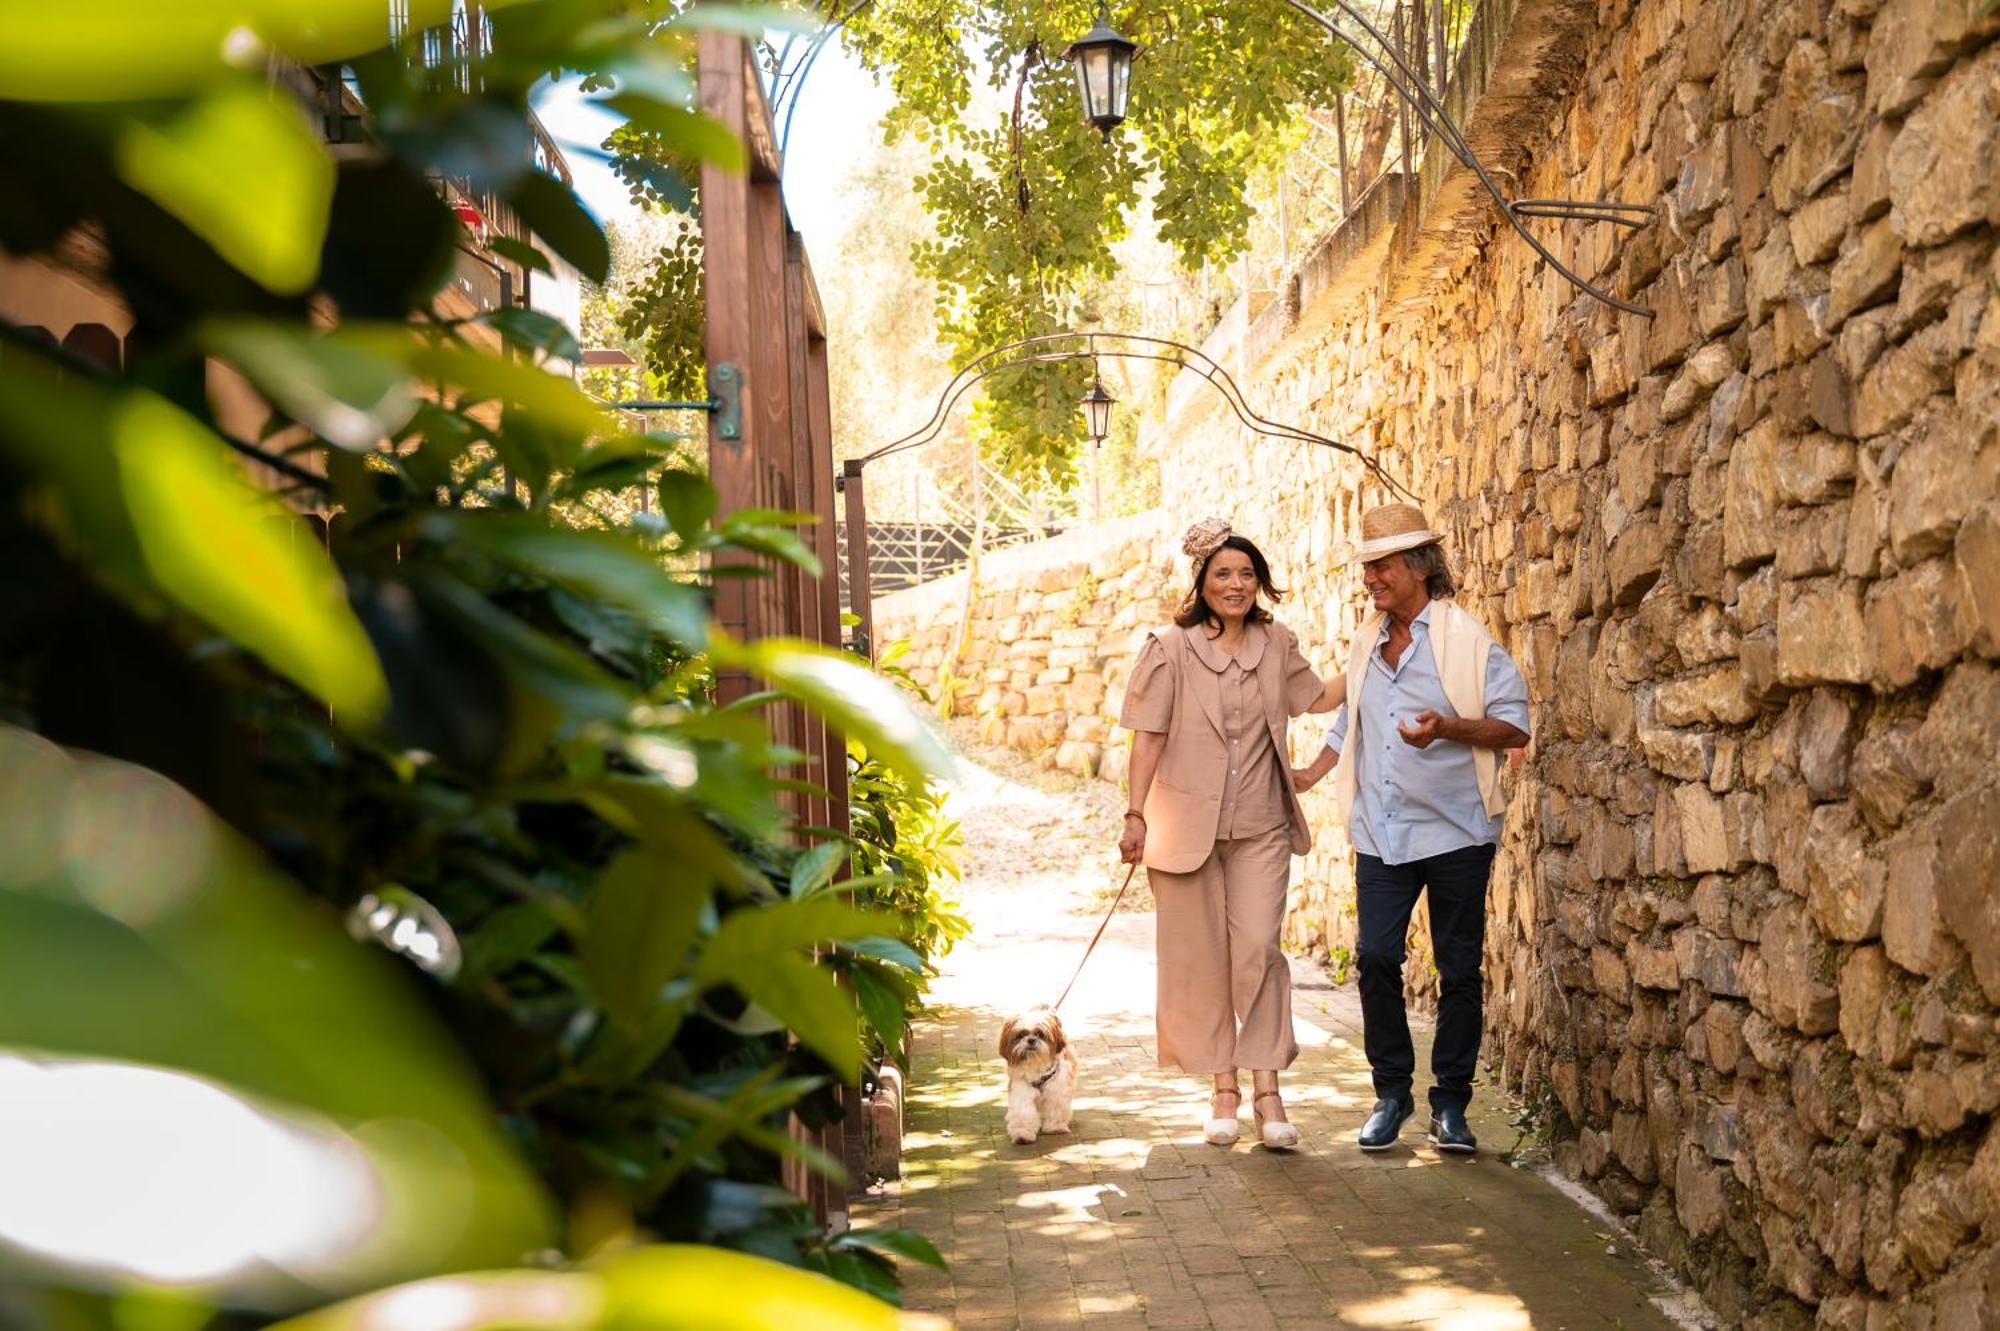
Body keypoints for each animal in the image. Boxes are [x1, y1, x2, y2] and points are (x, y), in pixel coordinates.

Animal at [1000, 1007, 1080, 1143]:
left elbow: (1055, 1108)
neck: (1036, 1066)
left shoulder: (1056, 1091)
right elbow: (1024, 1112)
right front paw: (1023, 1134)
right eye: (1021, 1035)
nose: (1031, 1040)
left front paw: (1055, 1127)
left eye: (1040, 1034)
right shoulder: (1022, 1090)